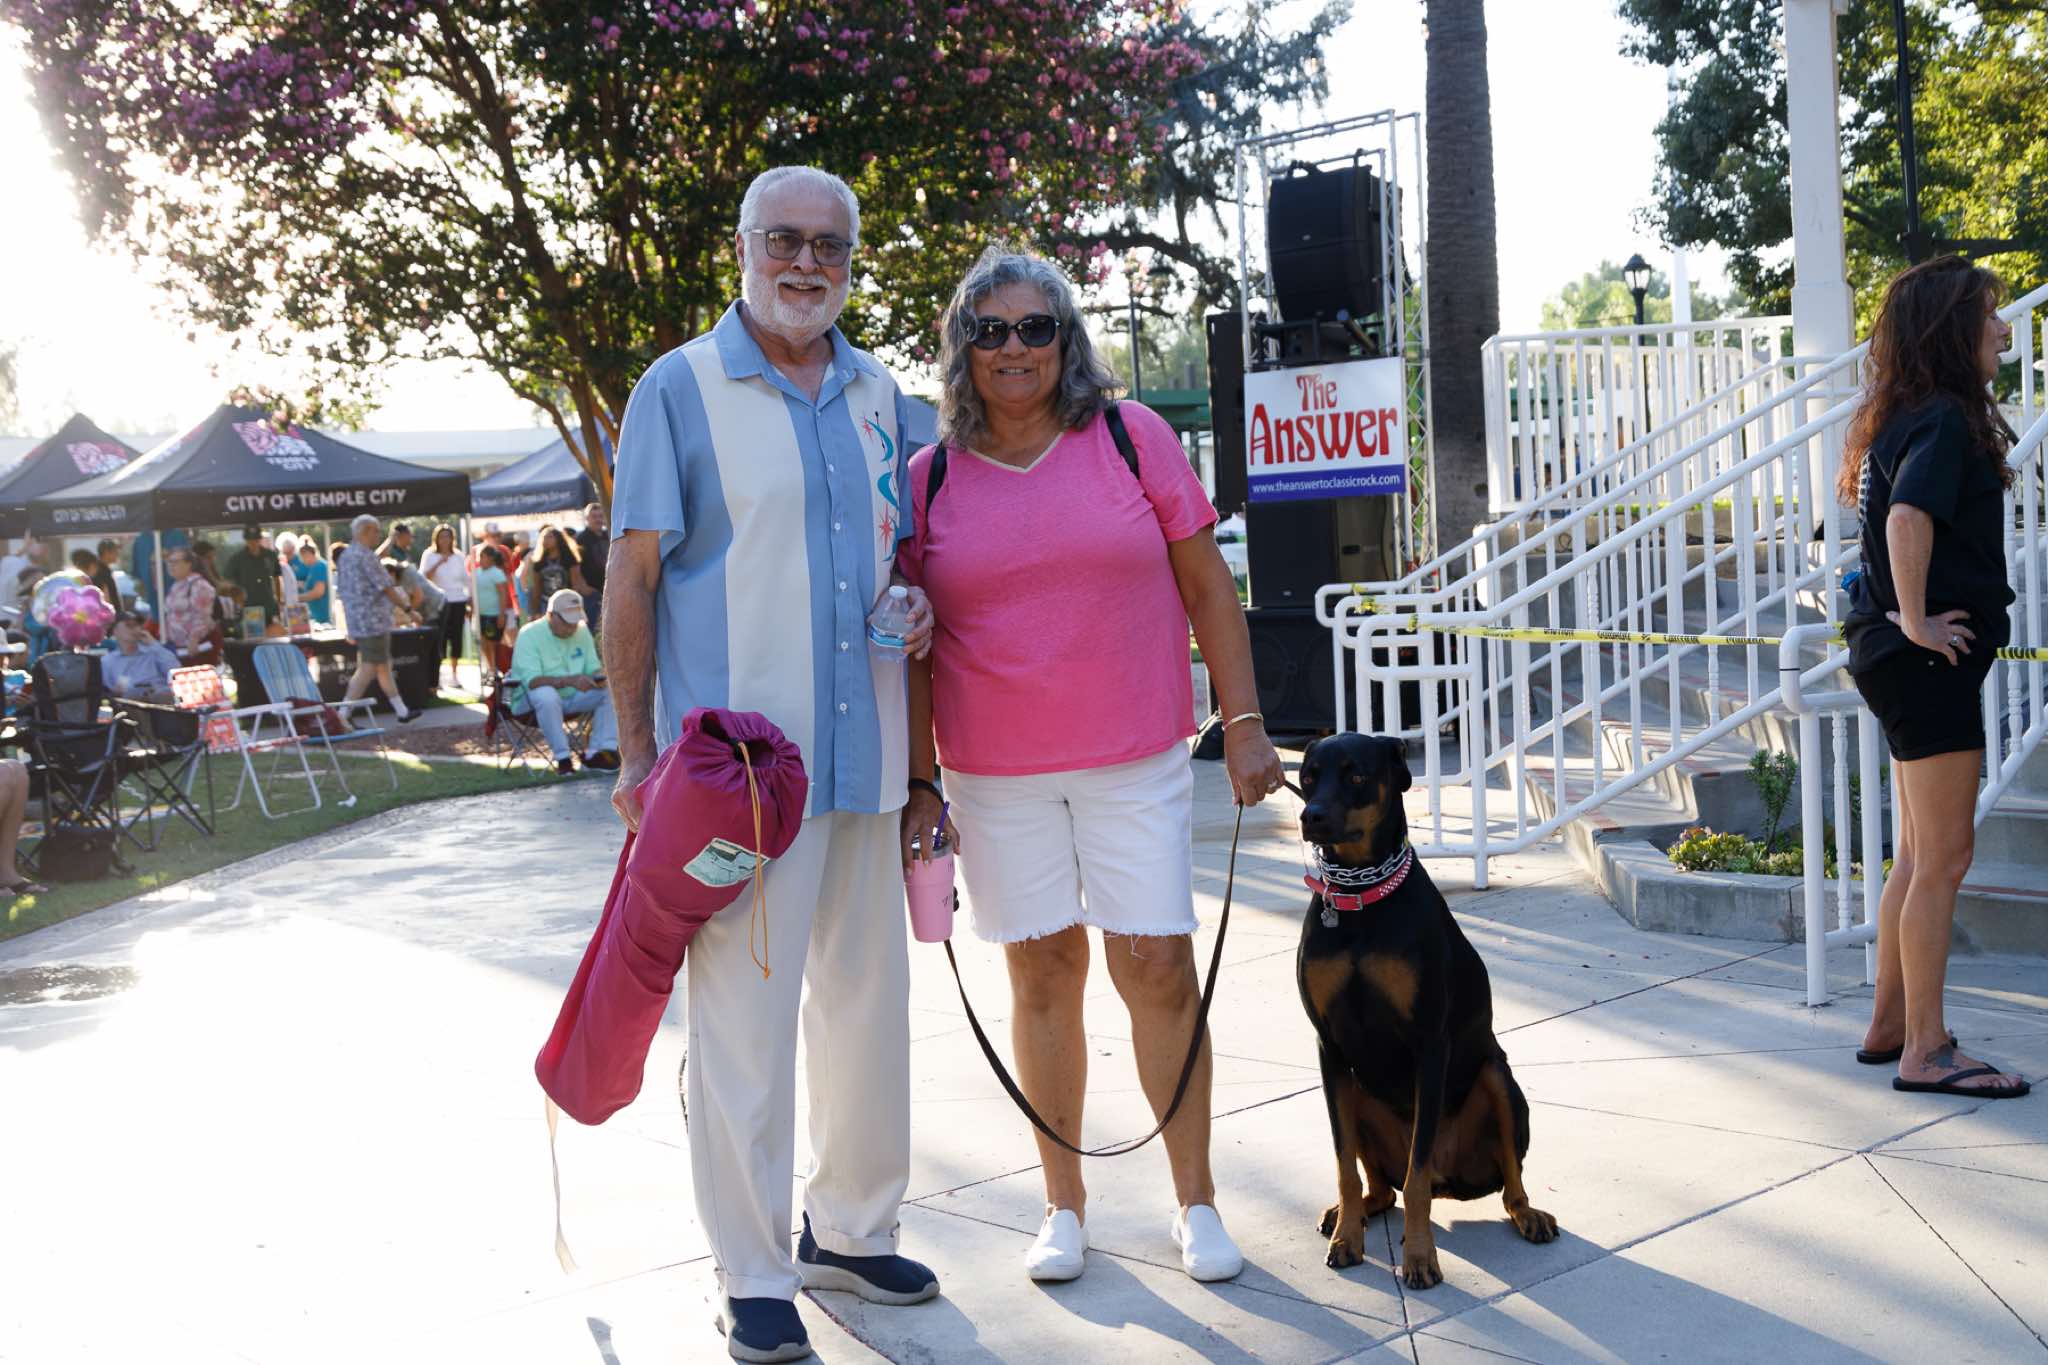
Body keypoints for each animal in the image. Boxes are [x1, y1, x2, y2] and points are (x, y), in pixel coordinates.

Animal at [1294, 732, 1557, 1289]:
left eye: (1356, 775)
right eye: (1307, 776)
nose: (1312, 816)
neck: (1360, 898)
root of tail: (1449, 1180)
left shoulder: (1428, 1044)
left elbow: (1415, 1180)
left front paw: (1418, 1256)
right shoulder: (1330, 1049)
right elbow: (1343, 1163)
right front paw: (1346, 1239)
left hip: (1497, 1077)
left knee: (1504, 1182)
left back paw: (1529, 1214)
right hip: (1358, 1092)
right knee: (1379, 1186)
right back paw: (1349, 1212)